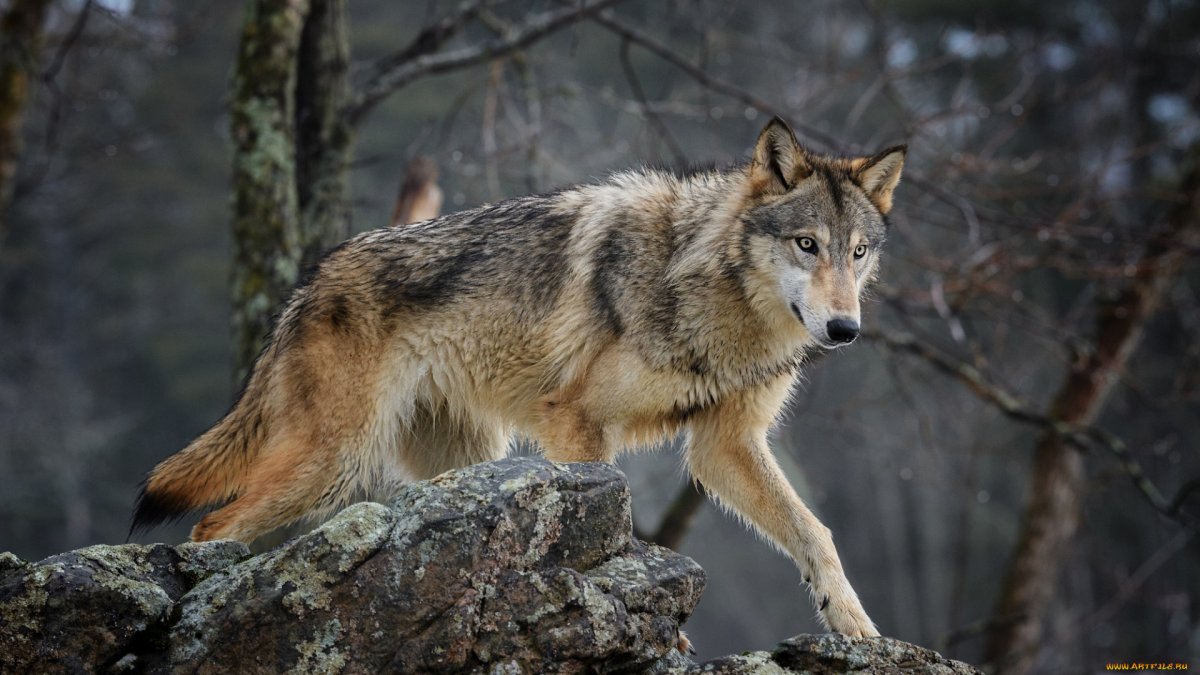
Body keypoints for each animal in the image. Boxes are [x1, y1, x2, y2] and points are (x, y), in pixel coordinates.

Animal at [133, 117, 904, 638]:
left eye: (857, 252)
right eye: (806, 245)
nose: (845, 329)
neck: (706, 291)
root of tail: (309, 283)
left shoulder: (725, 445)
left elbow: (815, 533)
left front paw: (856, 627)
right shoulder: (578, 422)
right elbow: (617, 528)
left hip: (468, 466)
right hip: (333, 462)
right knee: (211, 525)